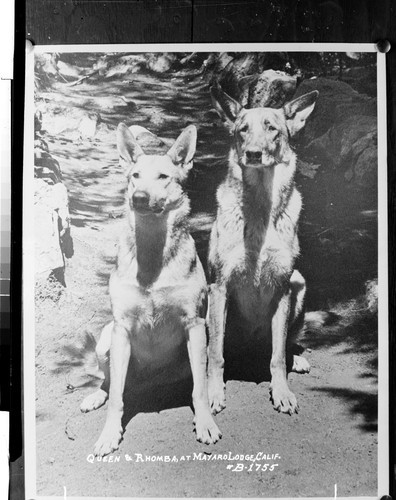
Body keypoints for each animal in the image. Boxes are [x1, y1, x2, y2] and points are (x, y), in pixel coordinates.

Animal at [80, 123, 223, 456]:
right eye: (135, 175)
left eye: (163, 177)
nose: (140, 198)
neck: (153, 254)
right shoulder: (121, 329)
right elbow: (116, 399)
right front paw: (109, 434)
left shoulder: (194, 324)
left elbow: (199, 389)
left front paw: (205, 423)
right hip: (106, 341)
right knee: (110, 384)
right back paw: (96, 395)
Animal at [207, 87, 318, 418]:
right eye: (243, 130)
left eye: (272, 129)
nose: (254, 154)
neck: (259, 208)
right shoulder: (219, 287)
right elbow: (215, 353)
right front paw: (213, 393)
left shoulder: (282, 287)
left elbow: (278, 356)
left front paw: (281, 392)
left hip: (299, 284)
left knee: (284, 345)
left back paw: (297, 358)